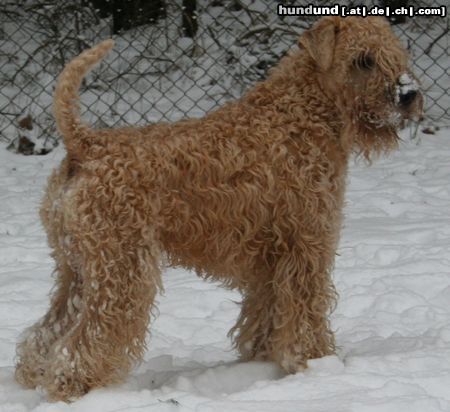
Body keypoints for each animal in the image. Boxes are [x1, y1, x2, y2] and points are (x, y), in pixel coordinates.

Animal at [14, 16, 422, 402]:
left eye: (394, 51)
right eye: (364, 60)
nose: (408, 94)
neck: (303, 114)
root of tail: (87, 145)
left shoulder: (270, 260)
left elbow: (266, 316)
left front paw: (262, 359)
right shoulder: (307, 245)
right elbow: (306, 312)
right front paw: (316, 361)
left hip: (78, 269)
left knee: (45, 334)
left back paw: (34, 376)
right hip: (120, 270)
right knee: (81, 342)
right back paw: (74, 386)